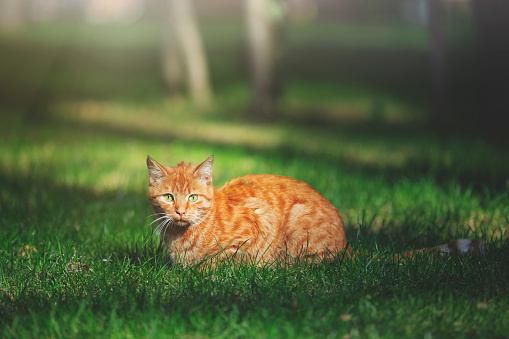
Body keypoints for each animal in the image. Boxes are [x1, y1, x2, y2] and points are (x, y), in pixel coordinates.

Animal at [146, 155, 484, 266]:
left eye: (193, 197)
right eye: (168, 197)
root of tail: (345, 244)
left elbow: (215, 263)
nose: (179, 212)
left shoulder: (254, 229)